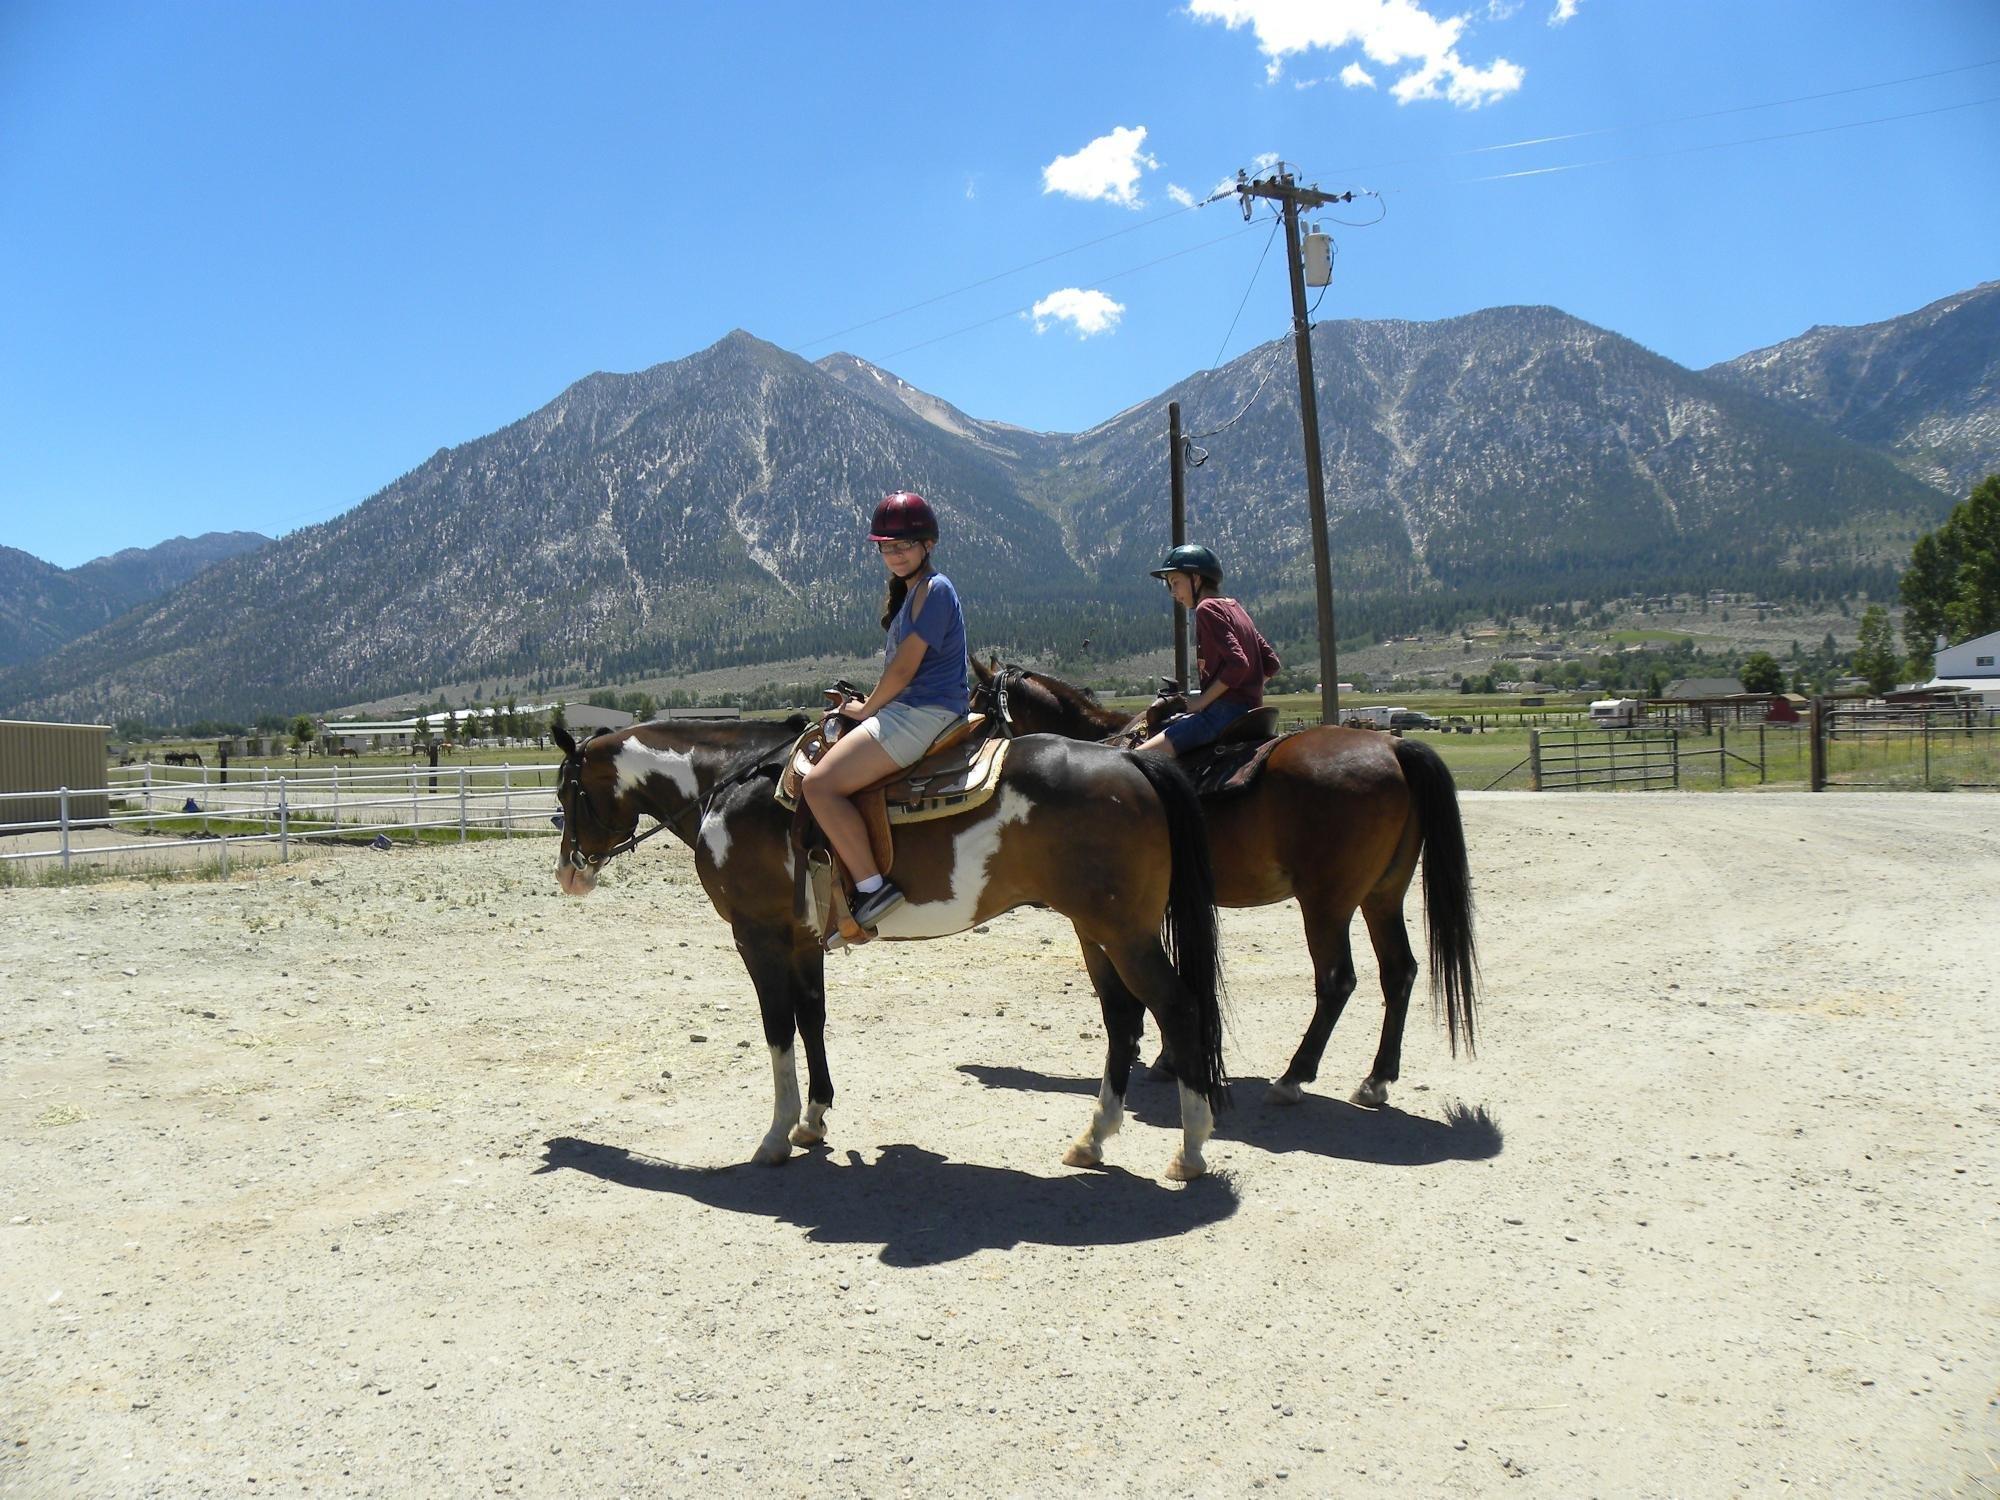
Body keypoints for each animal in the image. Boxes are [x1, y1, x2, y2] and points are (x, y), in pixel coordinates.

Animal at [976, 664, 1480, 1112]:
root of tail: (1394, 747)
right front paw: (1169, 1056)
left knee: (1337, 980)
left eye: (978, 704)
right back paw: (1377, 1079)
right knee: (1399, 972)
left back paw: (1293, 1077)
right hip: (1382, 895)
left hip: (1326, 903)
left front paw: (1167, 1056)